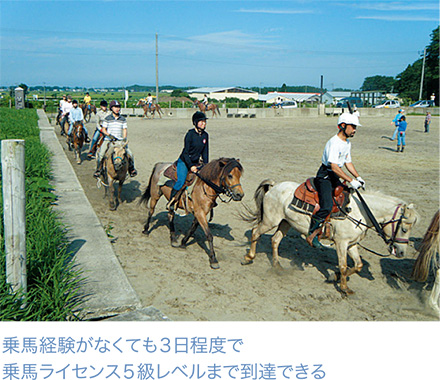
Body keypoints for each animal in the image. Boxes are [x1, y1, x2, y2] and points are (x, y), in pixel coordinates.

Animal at [241, 180, 420, 296]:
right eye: (404, 228)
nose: (401, 252)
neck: (359, 212)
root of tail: (274, 186)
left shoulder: (351, 244)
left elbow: (358, 265)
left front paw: (335, 277)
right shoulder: (341, 242)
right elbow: (343, 265)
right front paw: (343, 286)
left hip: (285, 222)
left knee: (275, 240)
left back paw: (277, 266)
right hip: (271, 220)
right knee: (255, 232)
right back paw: (249, 257)